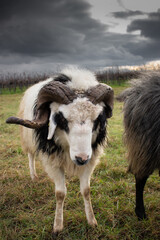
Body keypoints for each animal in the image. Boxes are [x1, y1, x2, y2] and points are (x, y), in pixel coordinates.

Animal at [6, 67, 114, 234]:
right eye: (62, 119)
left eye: (97, 119)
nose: (81, 158)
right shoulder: (53, 162)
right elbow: (60, 193)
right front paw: (57, 226)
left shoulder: (90, 162)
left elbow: (86, 190)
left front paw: (92, 222)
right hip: (28, 140)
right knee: (31, 155)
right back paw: (34, 176)